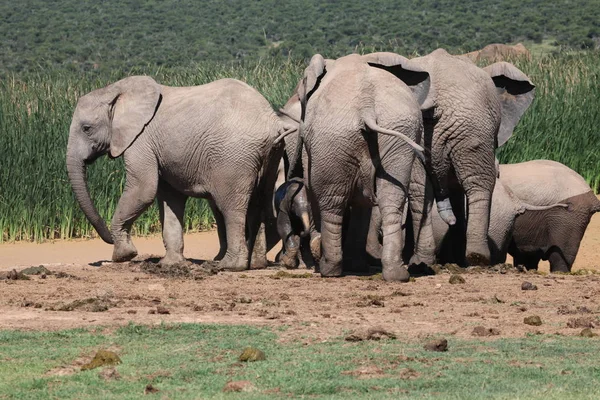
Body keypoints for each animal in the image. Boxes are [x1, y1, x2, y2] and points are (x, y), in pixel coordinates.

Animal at [67, 76, 290, 268]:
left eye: (87, 128)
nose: (106, 241)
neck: (115, 90)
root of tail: (273, 123)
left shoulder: (141, 140)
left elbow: (144, 189)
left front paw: (123, 256)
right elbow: (169, 197)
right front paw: (170, 264)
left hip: (234, 157)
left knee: (231, 207)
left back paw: (228, 266)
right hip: (270, 155)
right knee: (258, 202)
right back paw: (256, 264)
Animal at [290, 51, 436, 282]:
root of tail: (368, 106)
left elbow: (312, 185)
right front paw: (357, 267)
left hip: (333, 137)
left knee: (331, 200)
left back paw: (328, 269)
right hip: (398, 130)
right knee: (391, 197)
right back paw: (396, 274)